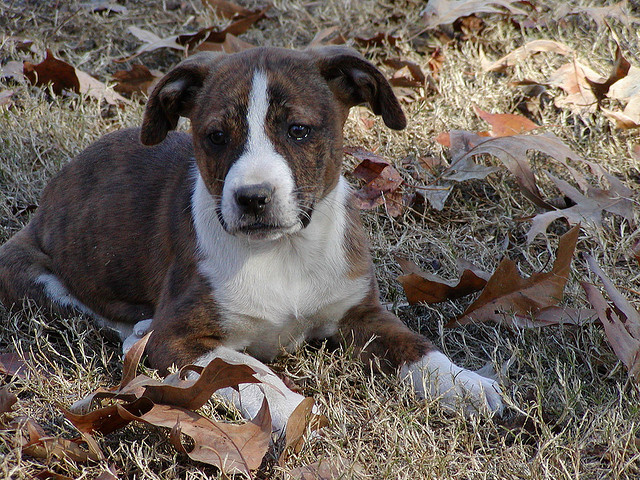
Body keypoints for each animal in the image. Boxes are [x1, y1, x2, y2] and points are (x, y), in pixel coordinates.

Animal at [0, 47, 502, 434]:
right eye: (216, 137)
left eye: (298, 130)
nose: (252, 197)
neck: (284, 250)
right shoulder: (176, 336)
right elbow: (247, 373)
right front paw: (293, 408)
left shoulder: (362, 313)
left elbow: (417, 348)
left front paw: (465, 385)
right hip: (26, 268)